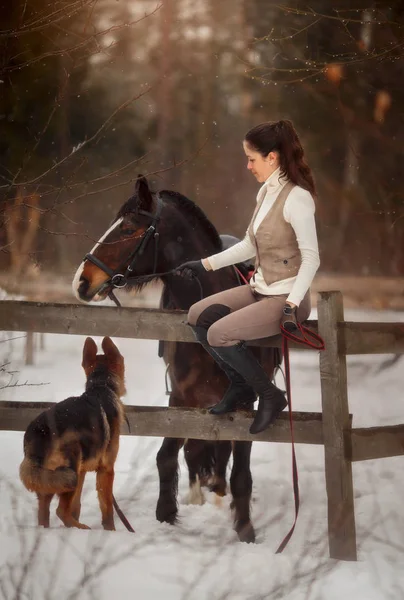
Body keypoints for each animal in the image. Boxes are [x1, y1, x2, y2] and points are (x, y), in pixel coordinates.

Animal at [19, 338, 125, 528]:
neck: (101, 386)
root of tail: (40, 430)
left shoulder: (82, 471)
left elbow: (76, 506)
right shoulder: (106, 470)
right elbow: (107, 509)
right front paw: (110, 530)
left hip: (50, 480)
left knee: (44, 513)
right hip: (70, 469)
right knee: (60, 511)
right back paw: (83, 528)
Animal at [72, 175, 280, 544]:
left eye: (128, 228)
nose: (81, 281)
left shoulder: (246, 405)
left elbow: (241, 471)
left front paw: (245, 528)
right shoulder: (181, 398)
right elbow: (167, 456)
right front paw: (166, 513)